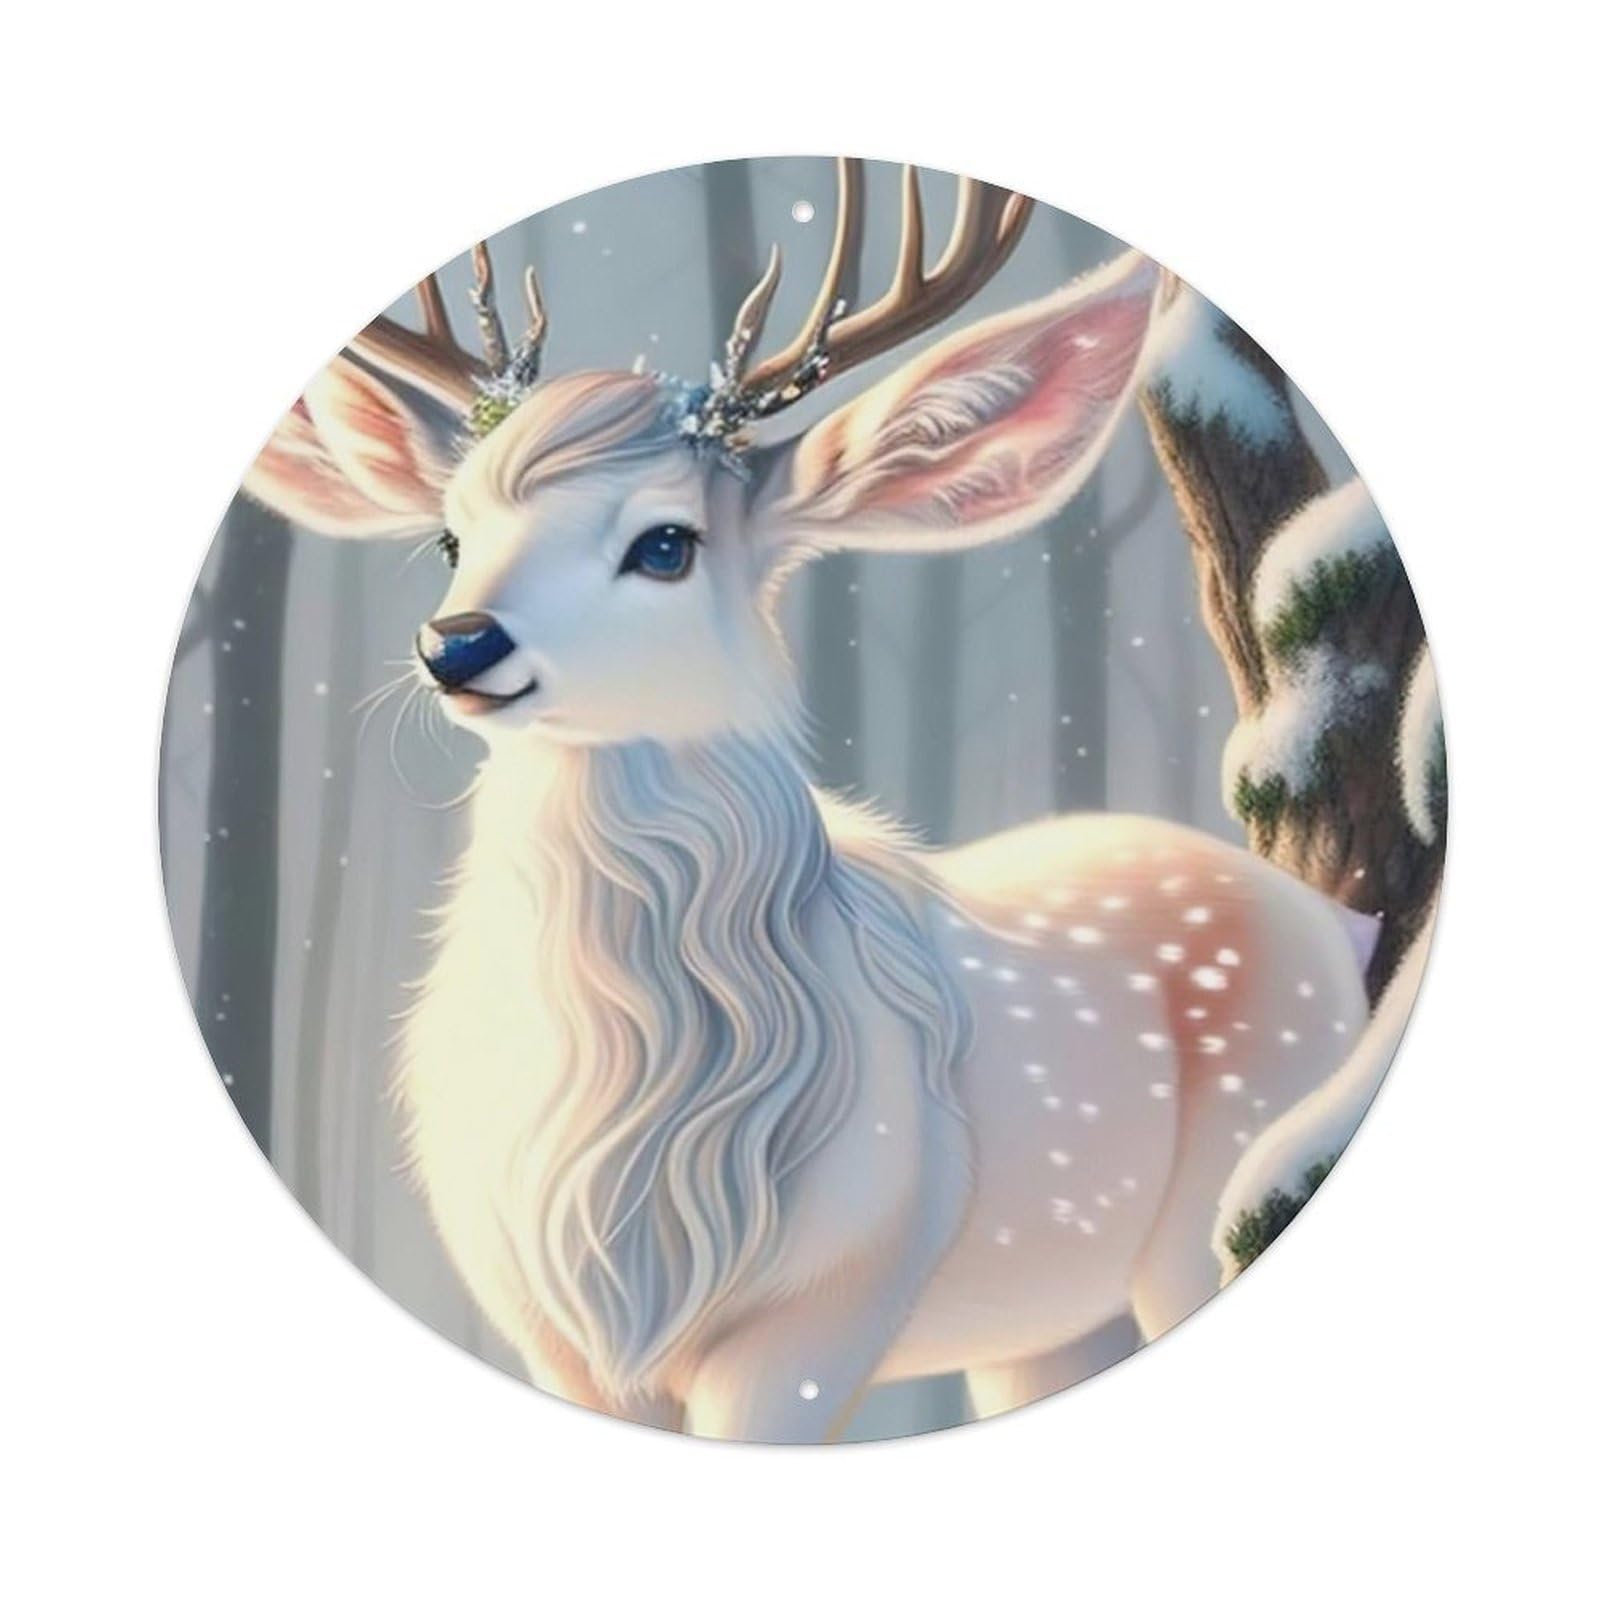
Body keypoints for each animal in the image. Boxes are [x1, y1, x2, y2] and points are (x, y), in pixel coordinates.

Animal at [244, 160, 1375, 1442]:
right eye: (449, 535)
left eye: (666, 544)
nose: (459, 643)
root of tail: (1333, 921)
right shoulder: (553, 1336)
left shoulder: (825, 1308)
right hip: (1043, 1318)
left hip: (1222, 1193)